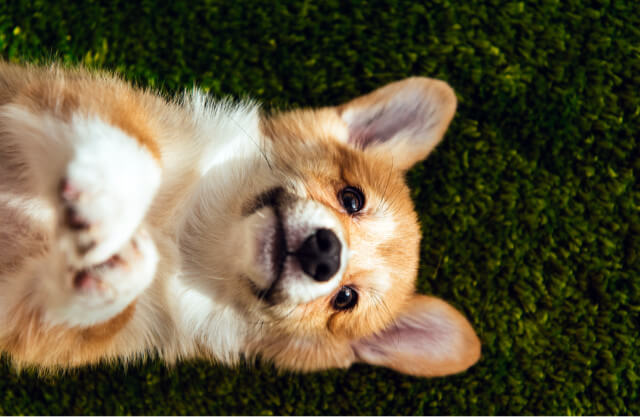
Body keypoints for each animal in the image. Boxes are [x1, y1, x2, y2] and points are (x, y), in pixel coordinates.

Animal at [0, 62, 480, 376]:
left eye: (346, 298)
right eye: (352, 198)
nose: (326, 253)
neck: (178, 233)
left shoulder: (29, 315)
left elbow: (89, 306)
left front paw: (119, 265)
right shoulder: (62, 99)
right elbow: (143, 151)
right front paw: (106, 196)